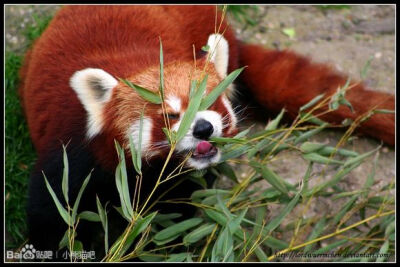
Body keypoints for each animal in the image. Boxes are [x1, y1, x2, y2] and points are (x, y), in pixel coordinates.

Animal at [18, 4, 394, 260]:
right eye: (172, 114)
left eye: (211, 101)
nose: (203, 127)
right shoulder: (72, 159)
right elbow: (52, 217)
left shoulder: (179, 188)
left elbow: (174, 222)